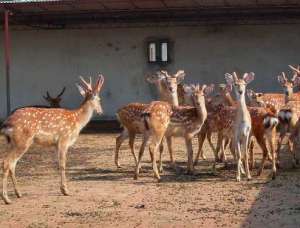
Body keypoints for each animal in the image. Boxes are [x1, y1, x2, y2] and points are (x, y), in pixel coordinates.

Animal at [0, 75, 104, 205]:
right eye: (99, 99)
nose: (101, 112)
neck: (77, 120)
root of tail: (6, 124)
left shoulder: (56, 144)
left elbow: (59, 164)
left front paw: (63, 189)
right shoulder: (64, 139)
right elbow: (63, 164)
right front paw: (65, 190)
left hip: (12, 142)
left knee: (12, 164)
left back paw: (18, 193)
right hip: (22, 141)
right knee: (6, 162)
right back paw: (6, 198)